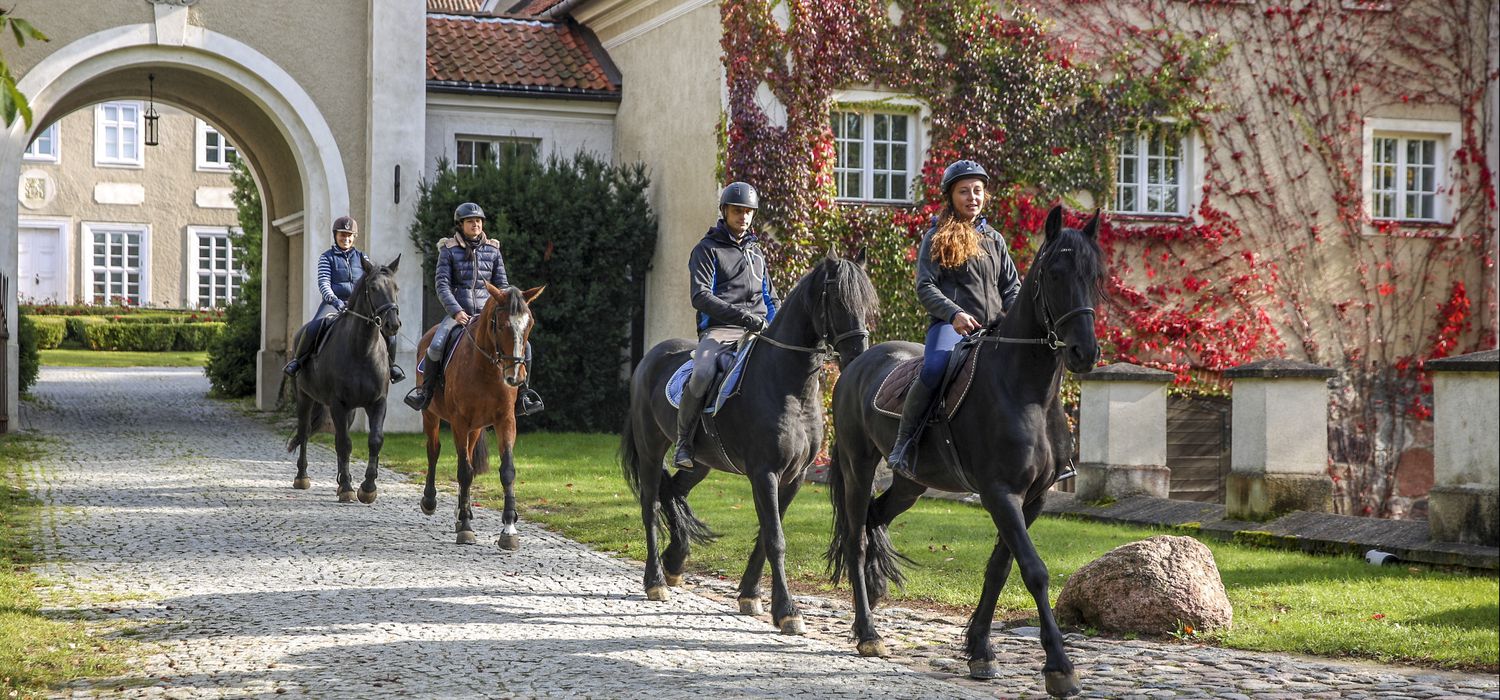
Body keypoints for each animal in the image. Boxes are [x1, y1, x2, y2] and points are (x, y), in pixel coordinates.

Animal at [286, 257, 402, 503]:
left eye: (396, 288)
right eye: (373, 288)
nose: (393, 324)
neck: (362, 350)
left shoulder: (377, 403)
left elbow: (374, 440)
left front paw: (367, 488)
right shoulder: (337, 404)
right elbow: (344, 443)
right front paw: (349, 487)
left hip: (350, 410)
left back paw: (339, 483)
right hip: (305, 398)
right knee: (304, 432)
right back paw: (302, 478)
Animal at [414, 283, 543, 548]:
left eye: (529, 325)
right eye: (501, 325)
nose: (515, 377)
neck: (487, 370)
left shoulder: (506, 421)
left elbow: (506, 471)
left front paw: (509, 529)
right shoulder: (459, 422)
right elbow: (464, 471)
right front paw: (465, 527)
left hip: (474, 428)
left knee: (468, 458)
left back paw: (463, 510)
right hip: (431, 415)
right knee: (434, 450)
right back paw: (431, 501)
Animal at [621, 256, 876, 635]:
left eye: (867, 302)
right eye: (836, 298)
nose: (858, 355)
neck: (789, 385)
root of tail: (649, 359)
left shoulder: (794, 477)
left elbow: (767, 534)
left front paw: (750, 596)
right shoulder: (764, 473)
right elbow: (775, 539)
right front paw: (788, 611)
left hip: (700, 463)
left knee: (673, 491)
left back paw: (676, 560)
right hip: (652, 450)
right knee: (651, 505)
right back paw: (655, 581)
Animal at [828, 205, 1098, 698]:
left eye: (1095, 275)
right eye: (1054, 273)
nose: (1083, 351)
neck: (1026, 390)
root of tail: (856, 363)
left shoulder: (1033, 499)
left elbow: (999, 568)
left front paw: (980, 650)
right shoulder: (999, 493)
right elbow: (1034, 570)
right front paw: (1060, 667)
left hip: (910, 484)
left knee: (874, 520)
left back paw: (871, 604)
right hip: (859, 467)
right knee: (857, 537)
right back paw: (868, 632)